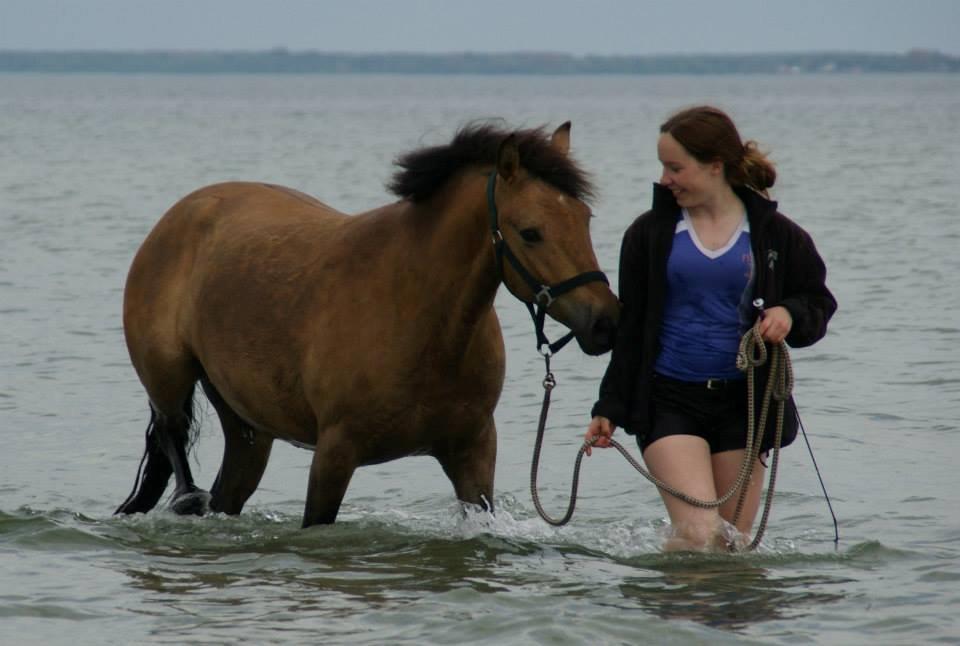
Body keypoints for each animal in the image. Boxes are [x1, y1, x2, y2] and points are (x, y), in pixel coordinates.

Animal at [116, 123, 620, 532]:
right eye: (531, 232)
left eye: (584, 218)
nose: (606, 322)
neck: (418, 319)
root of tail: (179, 217)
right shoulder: (335, 453)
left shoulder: (474, 449)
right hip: (169, 377)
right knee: (172, 428)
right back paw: (187, 496)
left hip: (249, 430)